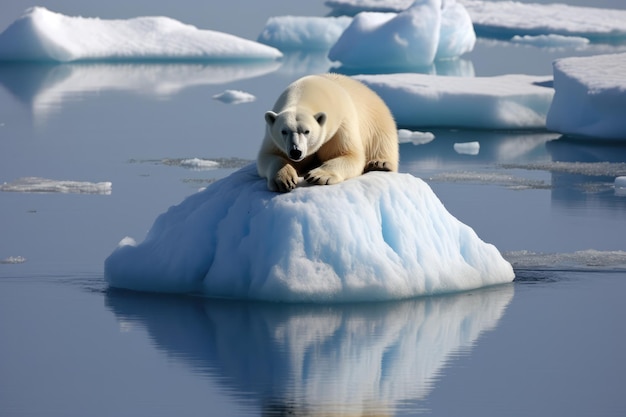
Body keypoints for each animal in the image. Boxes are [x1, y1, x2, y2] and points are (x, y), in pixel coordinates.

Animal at [256, 72, 398, 192]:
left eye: (307, 131)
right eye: (284, 131)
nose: (296, 152)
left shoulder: (341, 125)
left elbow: (350, 155)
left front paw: (317, 176)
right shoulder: (273, 137)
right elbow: (269, 155)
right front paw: (284, 179)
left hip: (378, 124)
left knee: (382, 143)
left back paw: (379, 163)